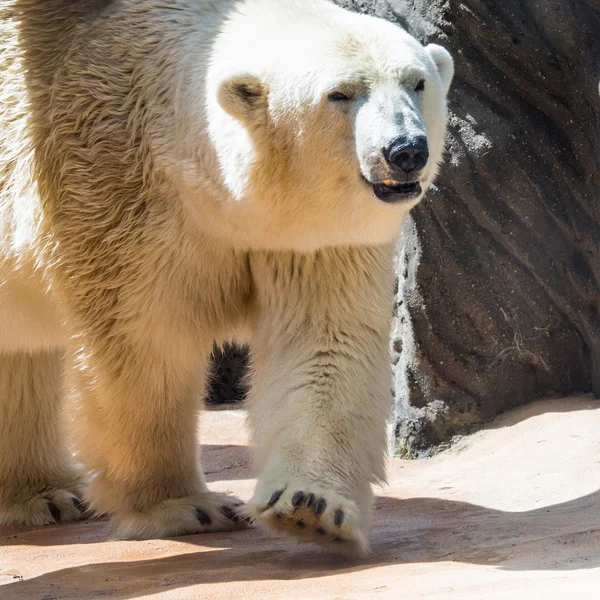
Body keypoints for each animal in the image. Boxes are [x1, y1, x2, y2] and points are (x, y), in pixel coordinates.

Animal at [0, 0, 450, 556]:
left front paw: (312, 508)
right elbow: (142, 346)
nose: (406, 150)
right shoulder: (111, 187)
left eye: (417, 82)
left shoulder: (311, 237)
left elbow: (323, 340)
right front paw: (183, 506)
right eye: (340, 93)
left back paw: (42, 494)